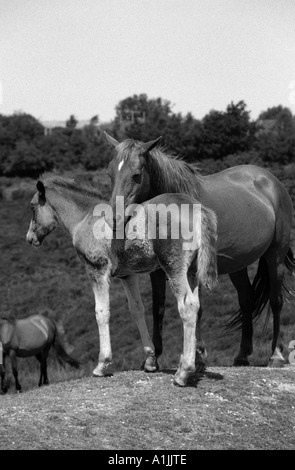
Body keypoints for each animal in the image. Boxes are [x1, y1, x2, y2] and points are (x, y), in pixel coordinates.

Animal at [26, 174, 219, 384]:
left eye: (33, 207)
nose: (30, 238)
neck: (84, 218)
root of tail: (197, 209)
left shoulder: (97, 269)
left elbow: (101, 312)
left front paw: (102, 364)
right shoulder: (128, 275)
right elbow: (137, 309)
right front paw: (150, 360)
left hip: (173, 267)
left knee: (187, 307)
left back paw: (184, 372)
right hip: (191, 271)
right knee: (196, 305)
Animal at [105, 132, 294, 368]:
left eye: (136, 174)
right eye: (110, 173)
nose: (114, 218)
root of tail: (272, 181)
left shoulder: (194, 268)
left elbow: (197, 308)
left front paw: (198, 354)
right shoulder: (158, 271)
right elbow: (158, 309)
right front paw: (153, 358)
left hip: (275, 256)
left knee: (276, 301)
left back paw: (275, 355)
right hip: (238, 265)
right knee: (246, 299)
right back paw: (242, 355)